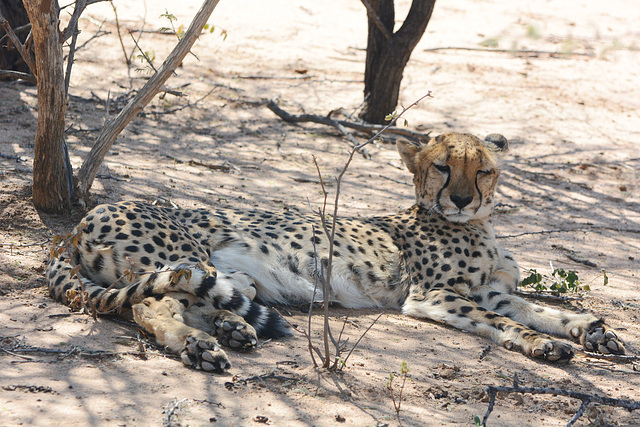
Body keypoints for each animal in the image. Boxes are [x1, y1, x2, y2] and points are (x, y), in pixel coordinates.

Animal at [46, 132, 624, 372]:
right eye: (441, 167)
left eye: (481, 170)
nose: (461, 199)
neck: (477, 225)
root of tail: (81, 222)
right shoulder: (434, 296)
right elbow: (509, 324)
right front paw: (542, 345)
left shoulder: (493, 292)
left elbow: (542, 310)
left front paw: (591, 331)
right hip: (188, 258)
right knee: (151, 304)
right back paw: (199, 345)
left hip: (222, 276)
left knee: (175, 301)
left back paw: (233, 330)